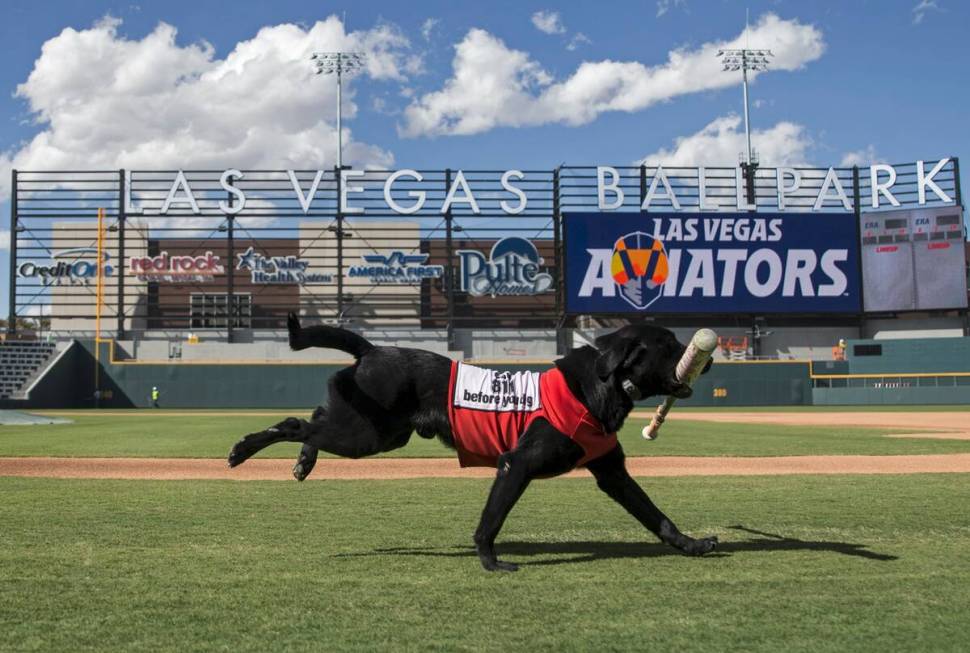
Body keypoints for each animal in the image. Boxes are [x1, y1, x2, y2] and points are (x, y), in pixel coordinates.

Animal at [225, 316, 712, 572]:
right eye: (669, 345)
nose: (705, 360)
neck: (595, 387)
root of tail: (372, 349)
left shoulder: (613, 474)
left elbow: (656, 516)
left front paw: (691, 544)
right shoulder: (515, 465)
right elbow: (491, 521)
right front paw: (491, 563)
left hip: (377, 434)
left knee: (311, 420)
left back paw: (303, 462)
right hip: (367, 435)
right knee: (294, 423)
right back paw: (243, 450)